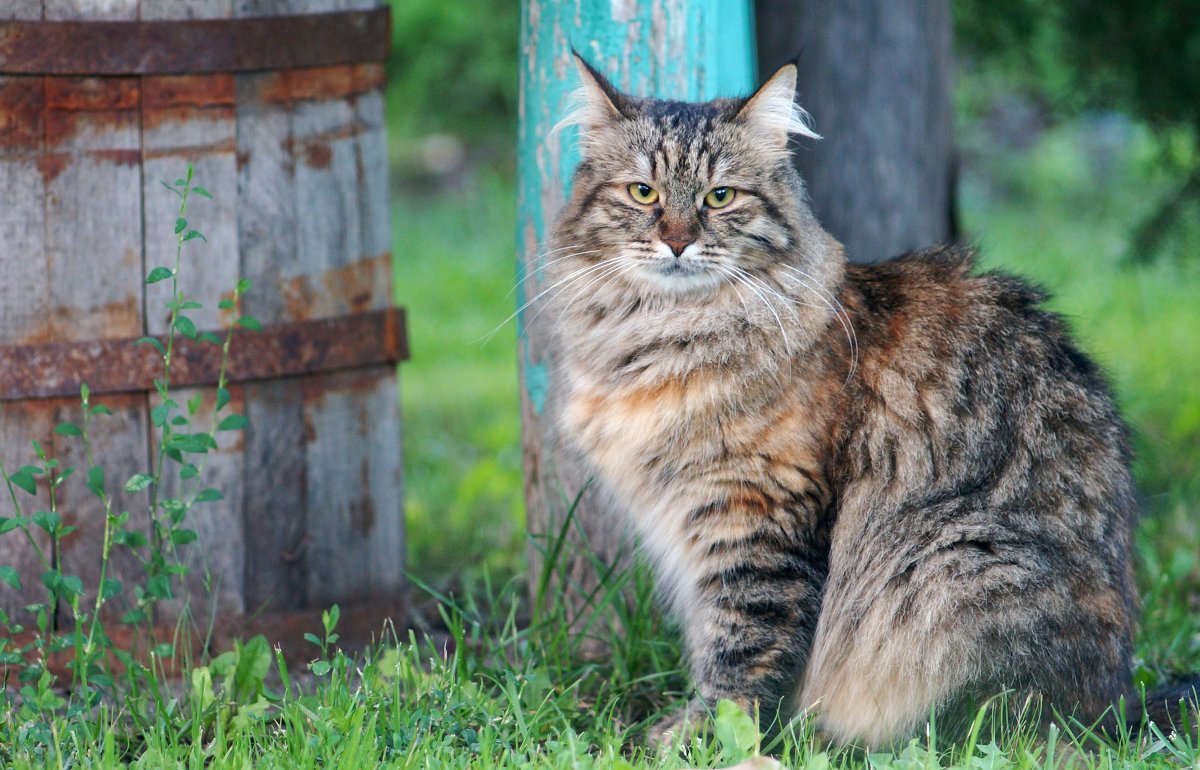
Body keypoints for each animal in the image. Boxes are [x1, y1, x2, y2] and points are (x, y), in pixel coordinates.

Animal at [547, 55, 1200, 743]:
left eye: (719, 197)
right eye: (643, 193)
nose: (676, 241)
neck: (662, 336)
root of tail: (1116, 707)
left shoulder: (760, 513)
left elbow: (741, 651)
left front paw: (698, 737)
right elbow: (712, 638)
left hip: (950, 563)